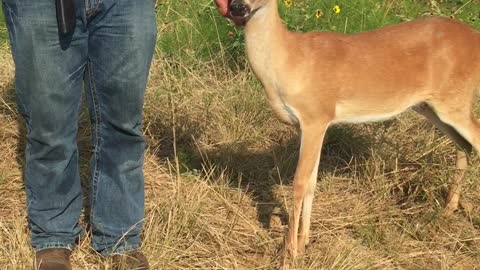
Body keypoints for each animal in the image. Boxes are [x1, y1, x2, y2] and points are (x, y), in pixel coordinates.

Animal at [214, 0, 480, 260]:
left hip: (454, 99)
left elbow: (299, 182)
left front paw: (289, 252)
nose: (237, 8)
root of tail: (474, 37)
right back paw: (448, 209)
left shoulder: (316, 116)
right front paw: (303, 242)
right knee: (464, 146)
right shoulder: (309, 126)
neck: (291, 61)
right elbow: (311, 182)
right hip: (432, 105)